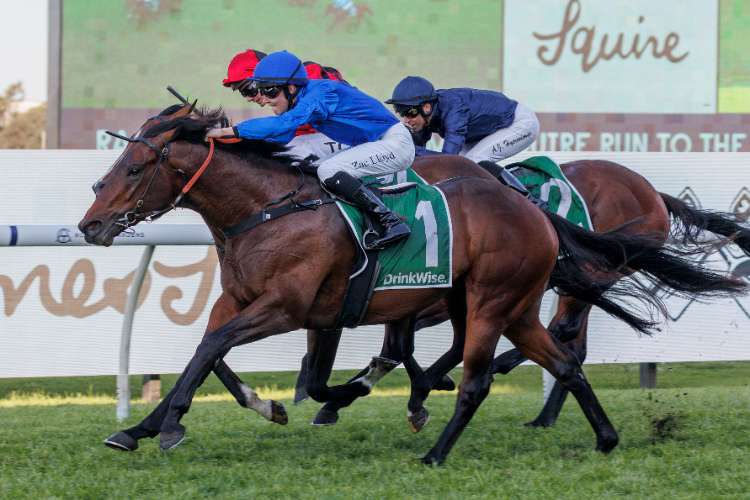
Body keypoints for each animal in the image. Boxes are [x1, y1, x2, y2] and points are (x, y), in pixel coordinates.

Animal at [77, 102, 719, 464]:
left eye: (136, 168)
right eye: (115, 167)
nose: (90, 225)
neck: (269, 208)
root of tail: (535, 214)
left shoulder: (289, 306)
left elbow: (218, 350)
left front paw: (169, 427)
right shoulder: (251, 301)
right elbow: (215, 353)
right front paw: (141, 426)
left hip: (499, 299)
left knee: (513, 361)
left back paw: (441, 440)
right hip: (502, 303)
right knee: (562, 357)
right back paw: (598, 436)